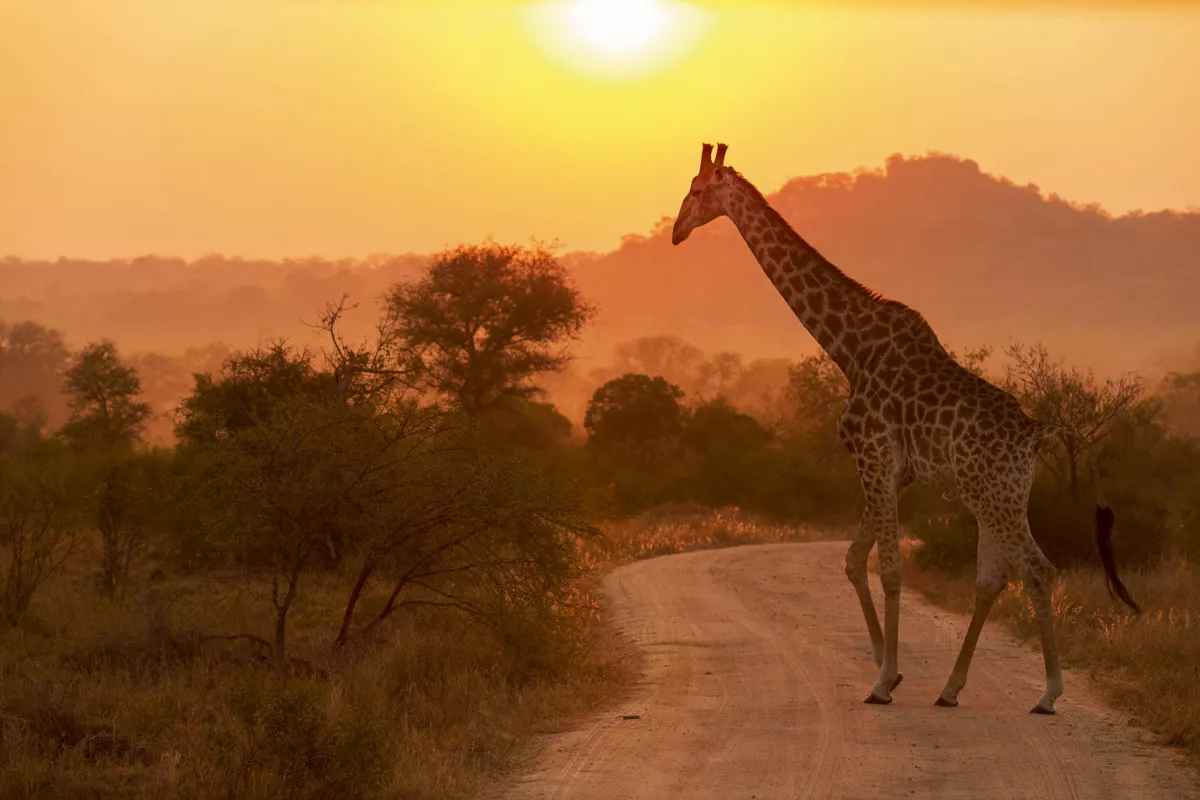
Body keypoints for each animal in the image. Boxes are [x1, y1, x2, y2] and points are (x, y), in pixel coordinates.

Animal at [672, 142, 1137, 714]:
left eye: (696, 190)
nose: (676, 231)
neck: (849, 347)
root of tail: (1036, 433)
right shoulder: (895, 472)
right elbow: (855, 560)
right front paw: (887, 669)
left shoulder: (872, 456)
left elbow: (889, 569)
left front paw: (881, 682)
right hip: (998, 496)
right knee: (993, 577)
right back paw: (951, 689)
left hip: (994, 496)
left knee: (1037, 570)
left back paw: (1048, 693)